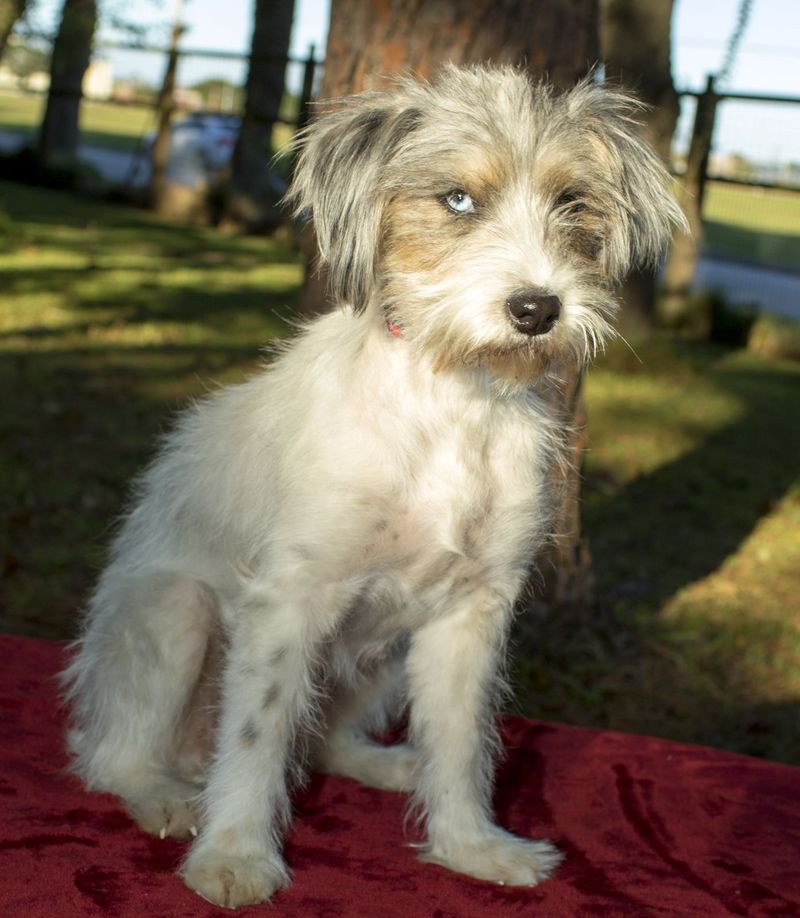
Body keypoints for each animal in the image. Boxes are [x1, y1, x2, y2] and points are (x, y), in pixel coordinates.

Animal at [64, 64, 688, 904]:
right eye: (458, 199)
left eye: (572, 202)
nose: (537, 309)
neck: (453, 399)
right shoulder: (289, 603)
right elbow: (258, 739)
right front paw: (236, 856)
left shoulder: (471, 614)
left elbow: (461, 745)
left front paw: (469, 849)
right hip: (175, 613)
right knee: (112, 756)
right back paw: (167, 797)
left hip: (388, 657)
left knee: (325, 744)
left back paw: (392, 766)